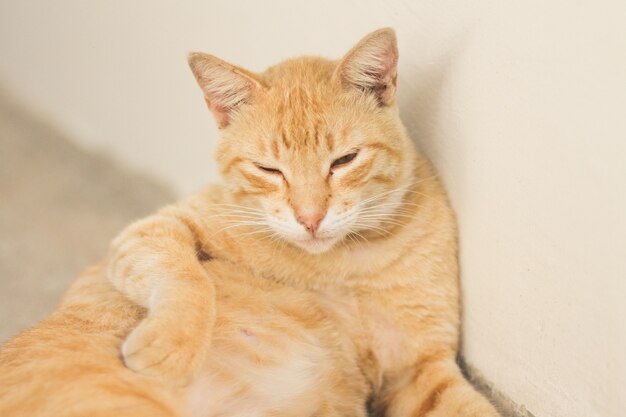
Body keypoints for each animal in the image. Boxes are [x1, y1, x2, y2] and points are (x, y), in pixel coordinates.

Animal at [0, 27, 498, 414]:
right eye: (269, 170)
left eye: (344, 161)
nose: (310, 218)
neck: (340, 265)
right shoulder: (150, 230)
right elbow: (186, 277)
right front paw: (171, 344)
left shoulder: (418, 369)